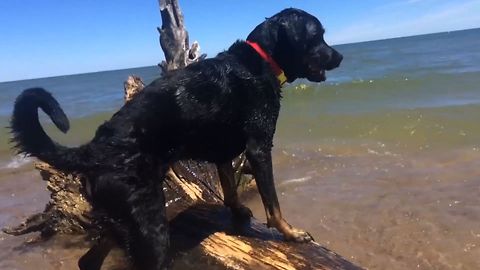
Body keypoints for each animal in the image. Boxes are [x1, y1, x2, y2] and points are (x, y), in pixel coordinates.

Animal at [11, 7, 342, 270]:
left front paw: (238, 212)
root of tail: (94, 149)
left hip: (119, 220)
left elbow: (230, 190)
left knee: (88, 260)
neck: (260, 60)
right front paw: (291, 233)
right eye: (318, 35)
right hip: (150, 228)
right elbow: (273, 204)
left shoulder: (224, 153)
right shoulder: (259, 148)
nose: (340, 56)